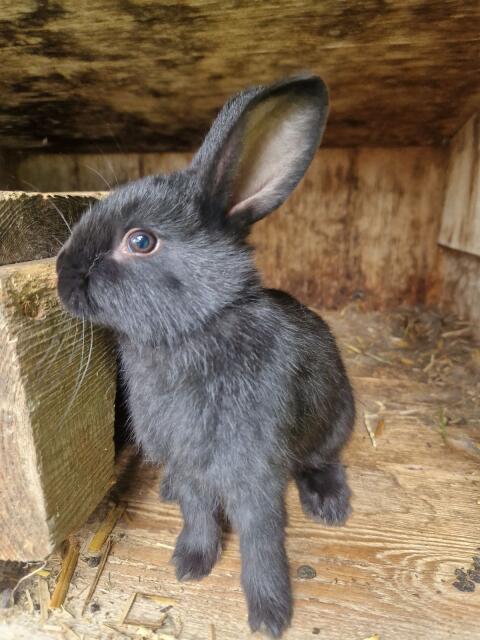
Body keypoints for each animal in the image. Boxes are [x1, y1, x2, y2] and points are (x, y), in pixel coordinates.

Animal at [56, 74, 355, 638]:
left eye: (141, 241)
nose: (61, 276)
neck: (194, 330)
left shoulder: (253, 472)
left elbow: (262, 542)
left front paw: (269, 614)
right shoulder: (190, 462)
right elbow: (197, 512)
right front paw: (191, 563)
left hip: (334, 419)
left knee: (321, 458)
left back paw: (329, 502)